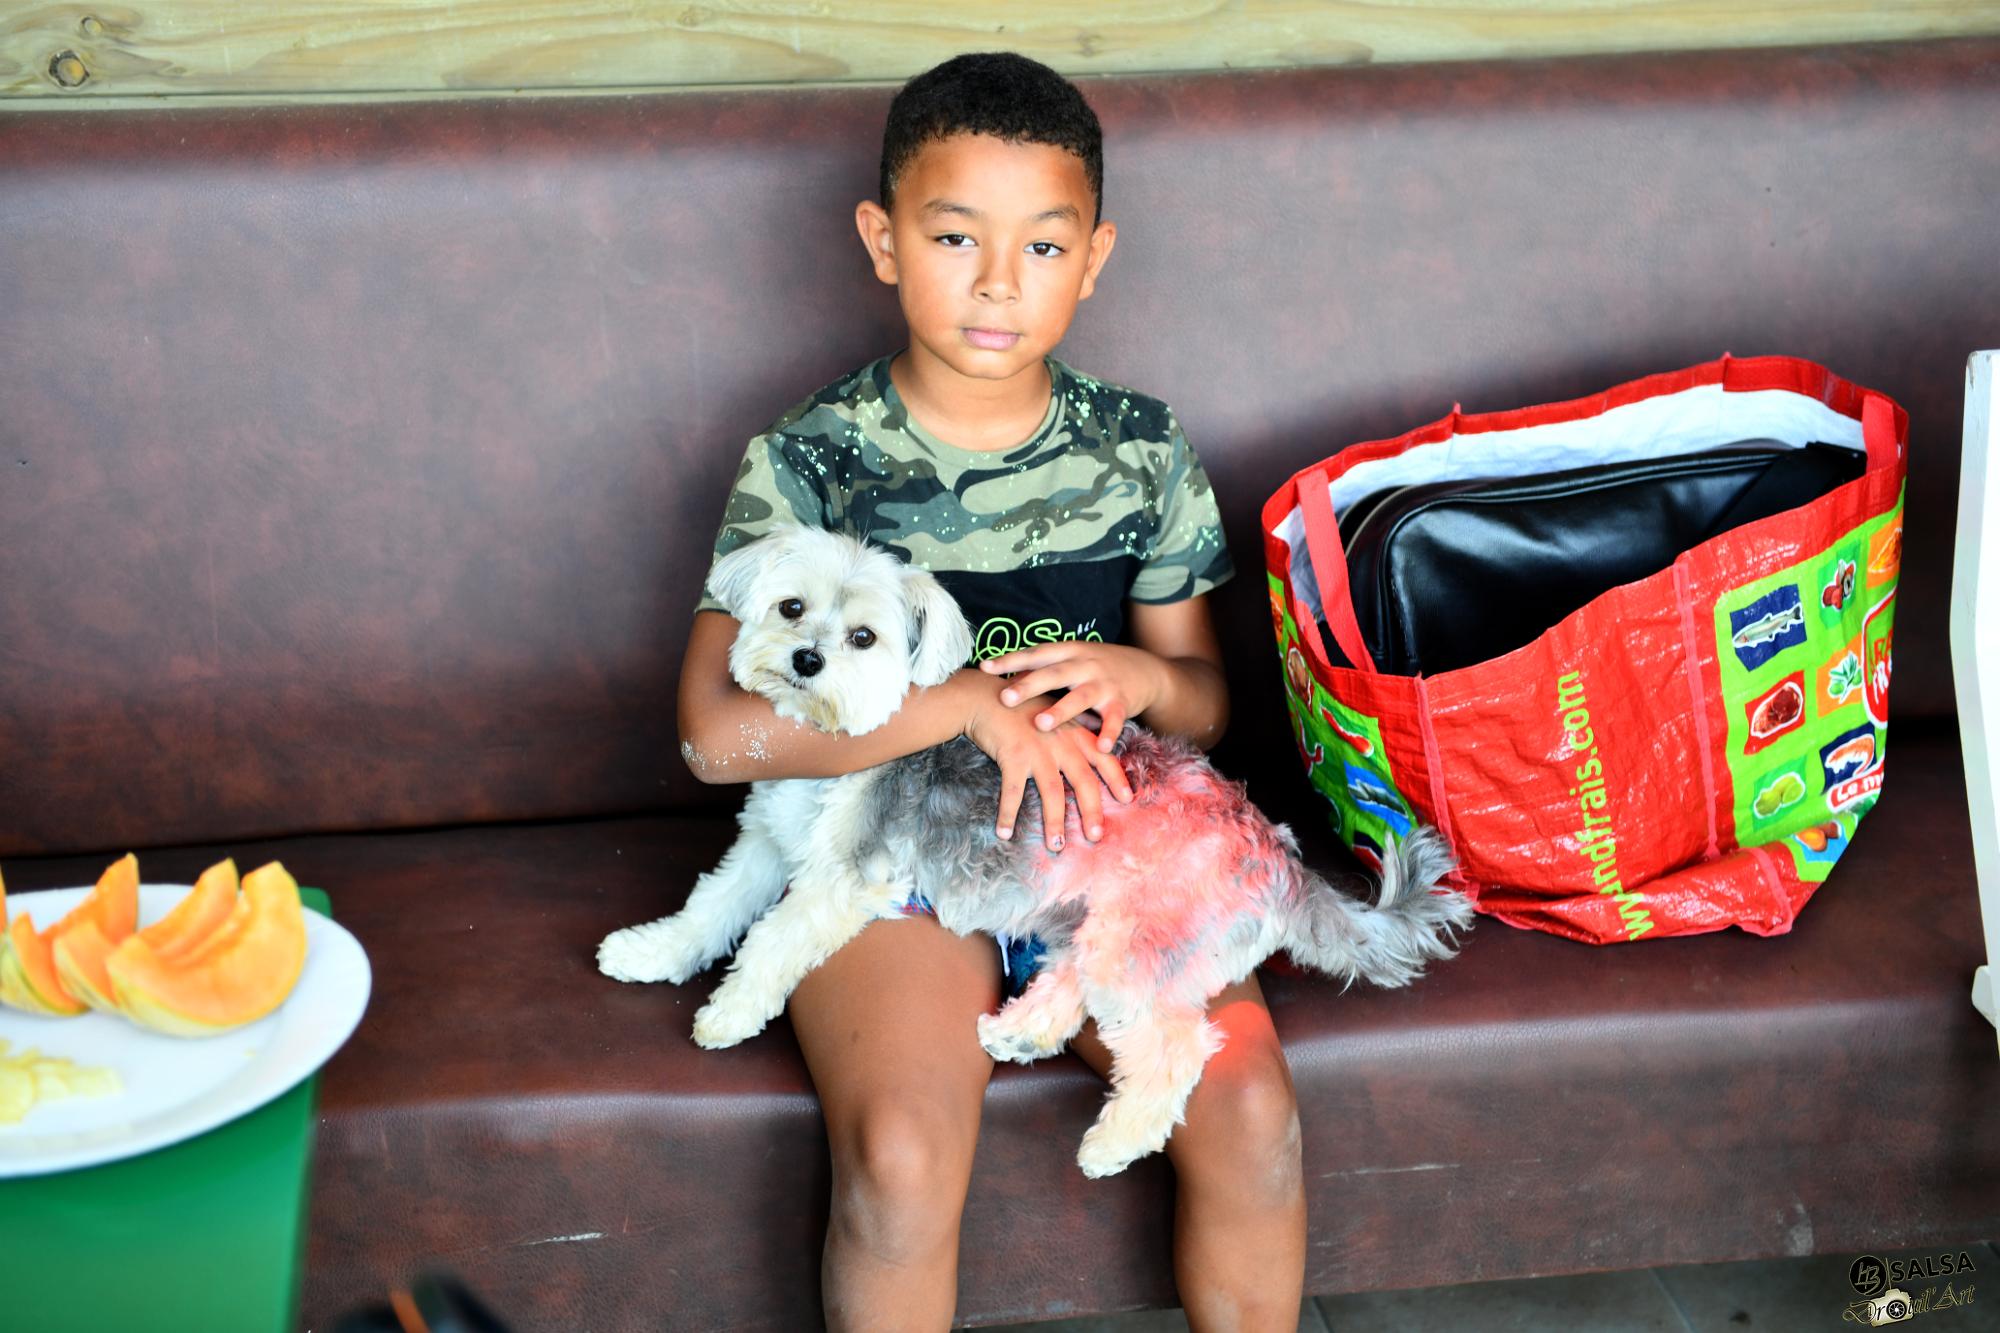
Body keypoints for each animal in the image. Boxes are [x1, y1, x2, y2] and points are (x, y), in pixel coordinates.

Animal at [599, 524, 1472, 1177]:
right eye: (790, 606)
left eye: (863, 637)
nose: (806, 659)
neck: (831, 748)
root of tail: (1274, 848)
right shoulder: (764, 847)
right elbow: (708, 910)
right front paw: (648, 952)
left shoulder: (840, 879)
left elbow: (771, 941)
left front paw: (728, 1012)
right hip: (1098, 918)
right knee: (1076, 978)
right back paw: (1021, 1031)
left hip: (1144, 937)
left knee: (1177, 1043)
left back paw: (1115, 1140)